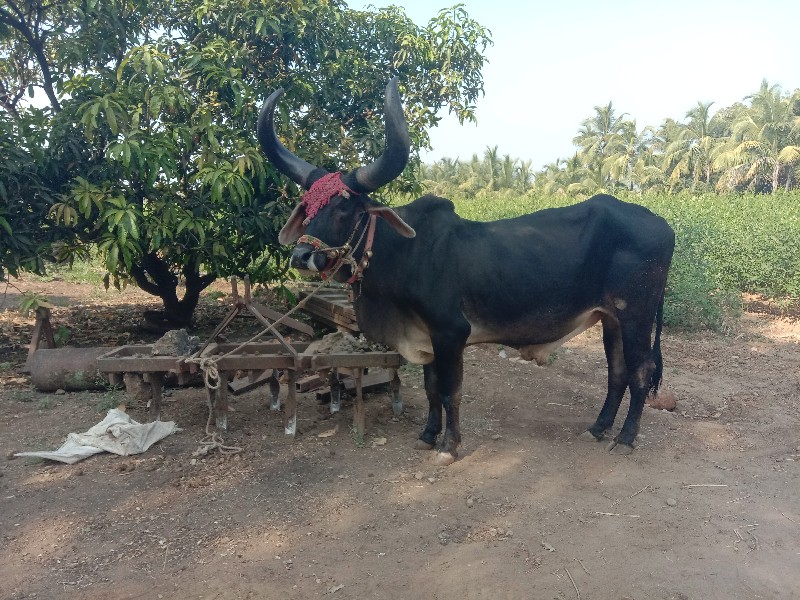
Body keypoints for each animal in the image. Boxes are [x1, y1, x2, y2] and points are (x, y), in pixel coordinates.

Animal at [260, 78, 672, 464]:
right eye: (308, 206)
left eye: (345, 208)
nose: (302, 256)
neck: (404, 253)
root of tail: (663, 225)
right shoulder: (426, 337)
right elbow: (430, 389)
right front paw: (427, 436)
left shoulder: (451, 332)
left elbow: (450, 391)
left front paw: (449, 446)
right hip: (611, 319)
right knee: (617, 372)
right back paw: (598, 429)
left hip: (635, 316)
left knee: (640, 372)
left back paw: (625, 438)